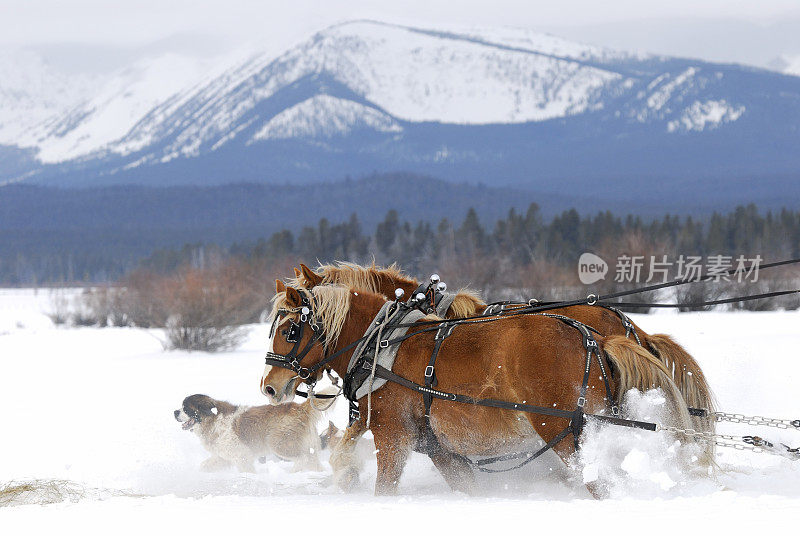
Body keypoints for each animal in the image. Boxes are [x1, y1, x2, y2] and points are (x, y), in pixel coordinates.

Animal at [260, 280, 708, 494]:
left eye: (291, 330)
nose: (269, 386)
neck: (382, 343)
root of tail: (597, 339)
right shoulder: (439, 448)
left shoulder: (392, 436)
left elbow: (384, 486)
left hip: (567, 435)